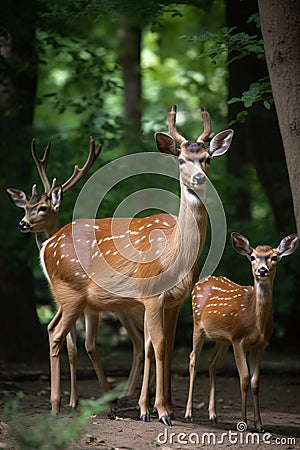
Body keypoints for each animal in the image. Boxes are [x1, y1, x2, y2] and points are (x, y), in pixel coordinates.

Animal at [6, 137, 146, 412]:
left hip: (131, 308)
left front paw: (78, 401)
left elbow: (84, 346)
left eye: (43, 207)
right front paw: (73, 401)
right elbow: (72, 348)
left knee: (147, 342)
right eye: (25, 206)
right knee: (140, 343)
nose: (22, 224)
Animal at [38, 105, 233, 426]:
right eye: (181, 159)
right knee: (56, 334)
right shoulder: (151, 295)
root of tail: (47, 246)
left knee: (54, 329)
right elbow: (159, 345)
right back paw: (56, 406)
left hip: (69, 297)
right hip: (70, 291)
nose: (199, 178)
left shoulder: (176, 301)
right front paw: (160, 411)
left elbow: (166, 347)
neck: (174, 254)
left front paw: (163, 407)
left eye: (207, 158)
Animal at [185, 230, 298, 430]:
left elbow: (256, 382)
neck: (256, 324)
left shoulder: (260, 345)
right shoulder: (238, 340)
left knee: (212, 362)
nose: (262, 270)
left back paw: (213, 416)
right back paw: (189, 413)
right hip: (198, 324)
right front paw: (243, 422)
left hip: (222, 339)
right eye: (252, 257)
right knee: (193, 359)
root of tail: (200, 282)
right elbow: (244, 379)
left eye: (274, 257)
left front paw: (259, 424)